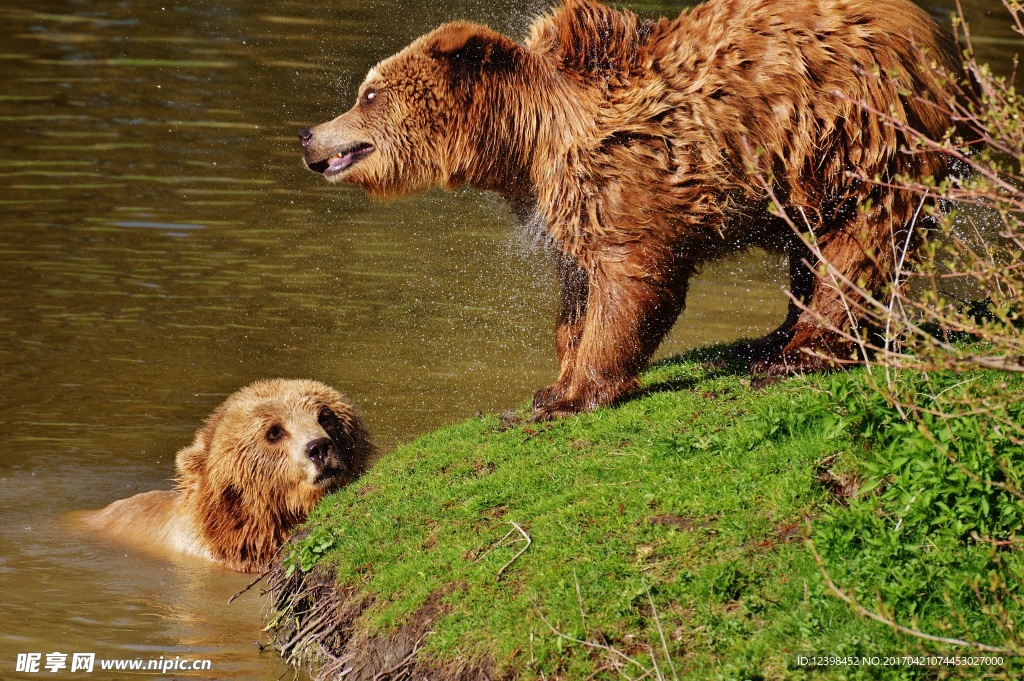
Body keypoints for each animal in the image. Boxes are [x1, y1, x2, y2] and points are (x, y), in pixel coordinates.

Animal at [299, 0, 970, 419]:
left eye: (369, 93)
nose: (309, 134)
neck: (528, 141)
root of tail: (941, 45)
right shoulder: (564, 201)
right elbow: (576, 293)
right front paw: (554, 384)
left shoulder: (629, 176)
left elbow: (632, 282)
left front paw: (577, 395)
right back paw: (774, 339)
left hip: (859, 137)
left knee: (854, 247)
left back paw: (796, 355)